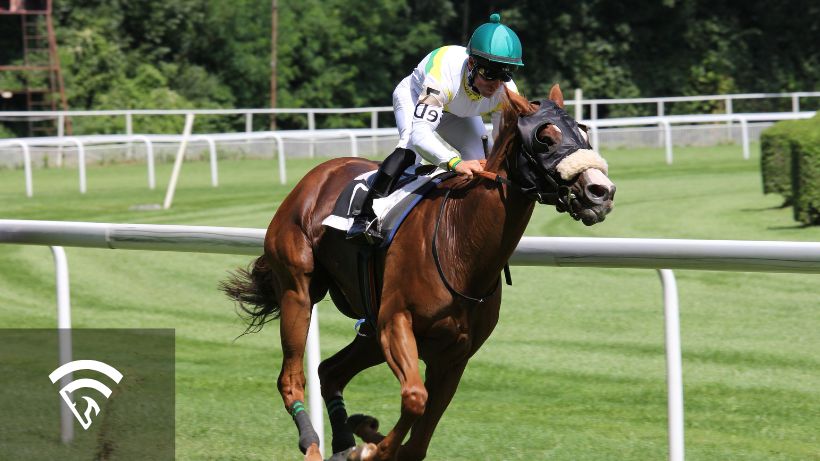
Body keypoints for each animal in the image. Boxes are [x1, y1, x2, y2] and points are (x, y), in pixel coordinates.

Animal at [223, 84, 616, 458]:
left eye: (583, 132)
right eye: (544, 138)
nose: (601, 191)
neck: (461, 244)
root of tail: (317, 175)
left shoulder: (454, 354)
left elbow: (418, 441)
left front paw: (368, 437)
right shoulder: (396, 323)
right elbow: (414, 398)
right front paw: (373, 447)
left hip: (369, 332)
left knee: (330, 371)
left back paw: (346, 442)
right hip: (299, 290)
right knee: (291, 378)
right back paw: (315, 445)